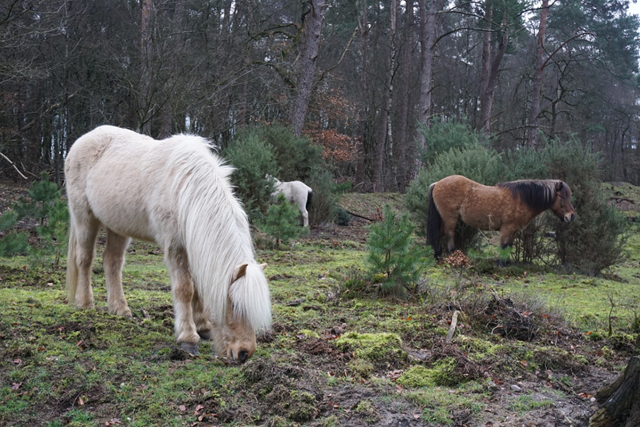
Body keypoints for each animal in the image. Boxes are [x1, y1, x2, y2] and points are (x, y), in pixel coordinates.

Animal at [66, 125, 272, 362]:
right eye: (236, 304)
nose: (245, 352)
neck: (186, 188)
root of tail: (84, 139)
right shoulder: (175, 246)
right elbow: (185, 289)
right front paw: (188, 338)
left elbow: (198, 288)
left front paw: (203, 327)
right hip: (84, 217)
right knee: (85, 259)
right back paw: (85, 304)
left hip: (117, 226)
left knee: (112, 262)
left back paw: (120, 309)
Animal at [428, 176, 576, 260]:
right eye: (562, 197)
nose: (571, 216)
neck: (522, 198)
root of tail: (437, 183)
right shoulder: (507, 228)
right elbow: (504, 246)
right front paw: (501, 263)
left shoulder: (513, 229)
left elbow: (509, 245)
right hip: (450, 217)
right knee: (449, 234)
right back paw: (454, 254)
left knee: (438, 235)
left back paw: (438, 256)